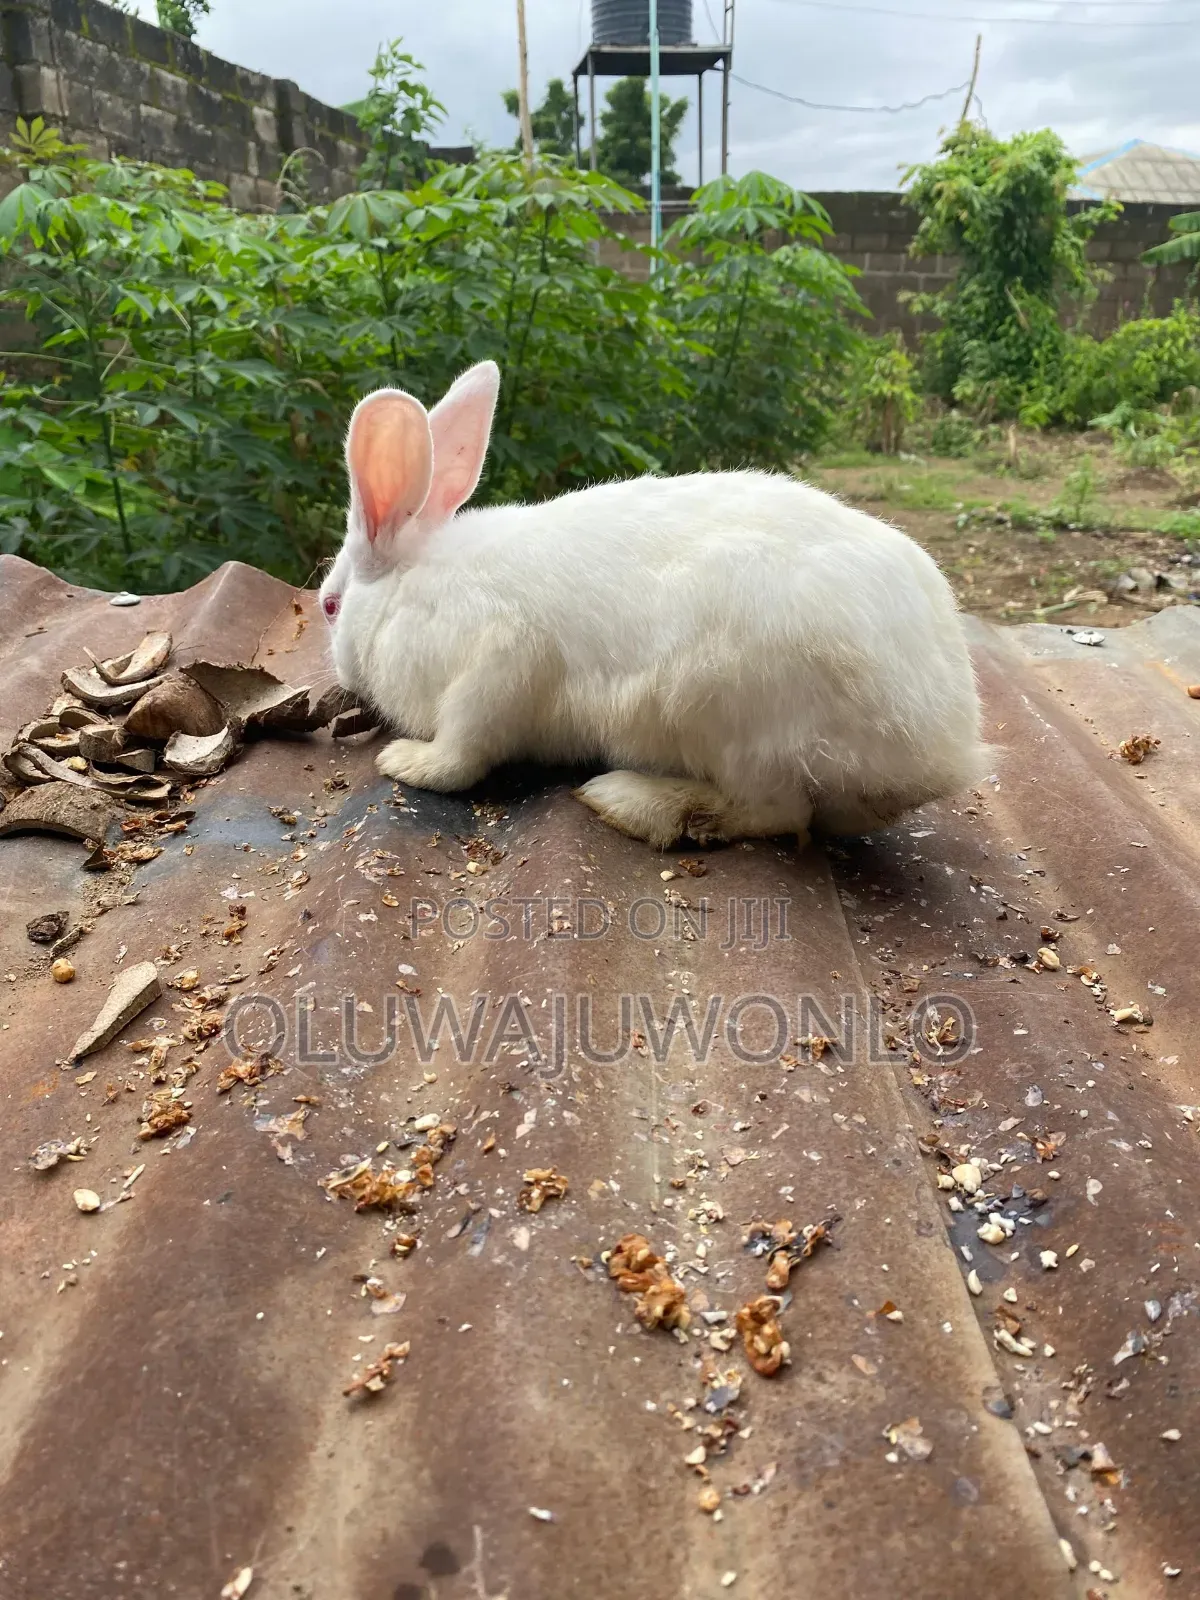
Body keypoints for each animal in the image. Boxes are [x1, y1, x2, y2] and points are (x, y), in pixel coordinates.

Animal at [318, 359, 986, 850]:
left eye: (329, 605)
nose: (341, 674)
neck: (407, 591)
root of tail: (946, 742)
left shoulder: (503, 660)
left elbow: (464, 748)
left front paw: (406, 762)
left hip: (723, 704)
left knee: (776, 810)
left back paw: (627, 801)